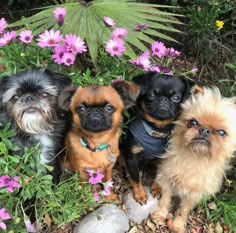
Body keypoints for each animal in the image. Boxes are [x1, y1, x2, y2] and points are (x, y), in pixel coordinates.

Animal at [121, 72, 194, 205]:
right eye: (151, 95)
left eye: (176, 97)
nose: (163, 99)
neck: (156, 131)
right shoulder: (132, 157)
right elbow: (135, 178)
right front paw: (140, 194)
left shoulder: (163, 158)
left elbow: (160, 174)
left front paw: (157, 188)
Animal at [151, 88, 236, 233]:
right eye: (193, 122)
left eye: (221, 132)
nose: (205, 130)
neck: (196, 159)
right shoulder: (167, 179)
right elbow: (165, 199)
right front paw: (160, 215)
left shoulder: (194, 195)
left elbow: (184, 210)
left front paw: (178, 224)